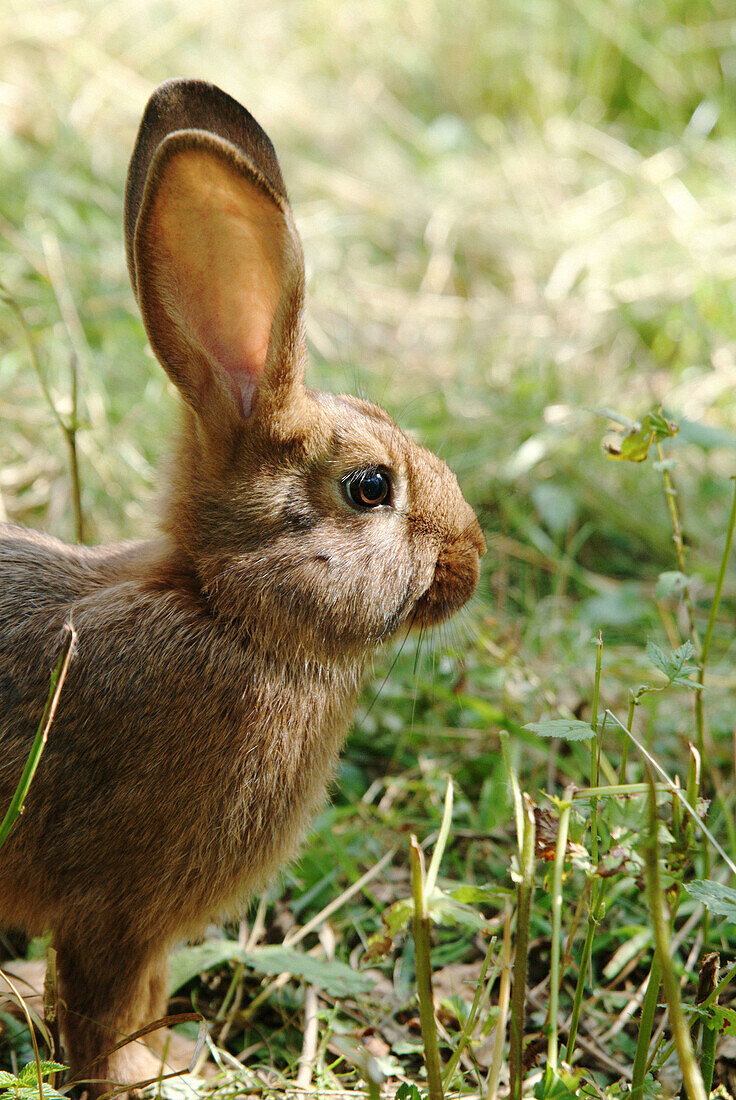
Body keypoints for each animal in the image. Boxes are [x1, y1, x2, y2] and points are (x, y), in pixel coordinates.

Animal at [0, 81, 484, 1095]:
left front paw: (172, 1058)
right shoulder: (115, 907)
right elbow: (102, 1010)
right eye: (371, 487)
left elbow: (141, 998)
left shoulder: (142, 929)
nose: (471, 560)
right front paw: (142, 1080)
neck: (228, 611)